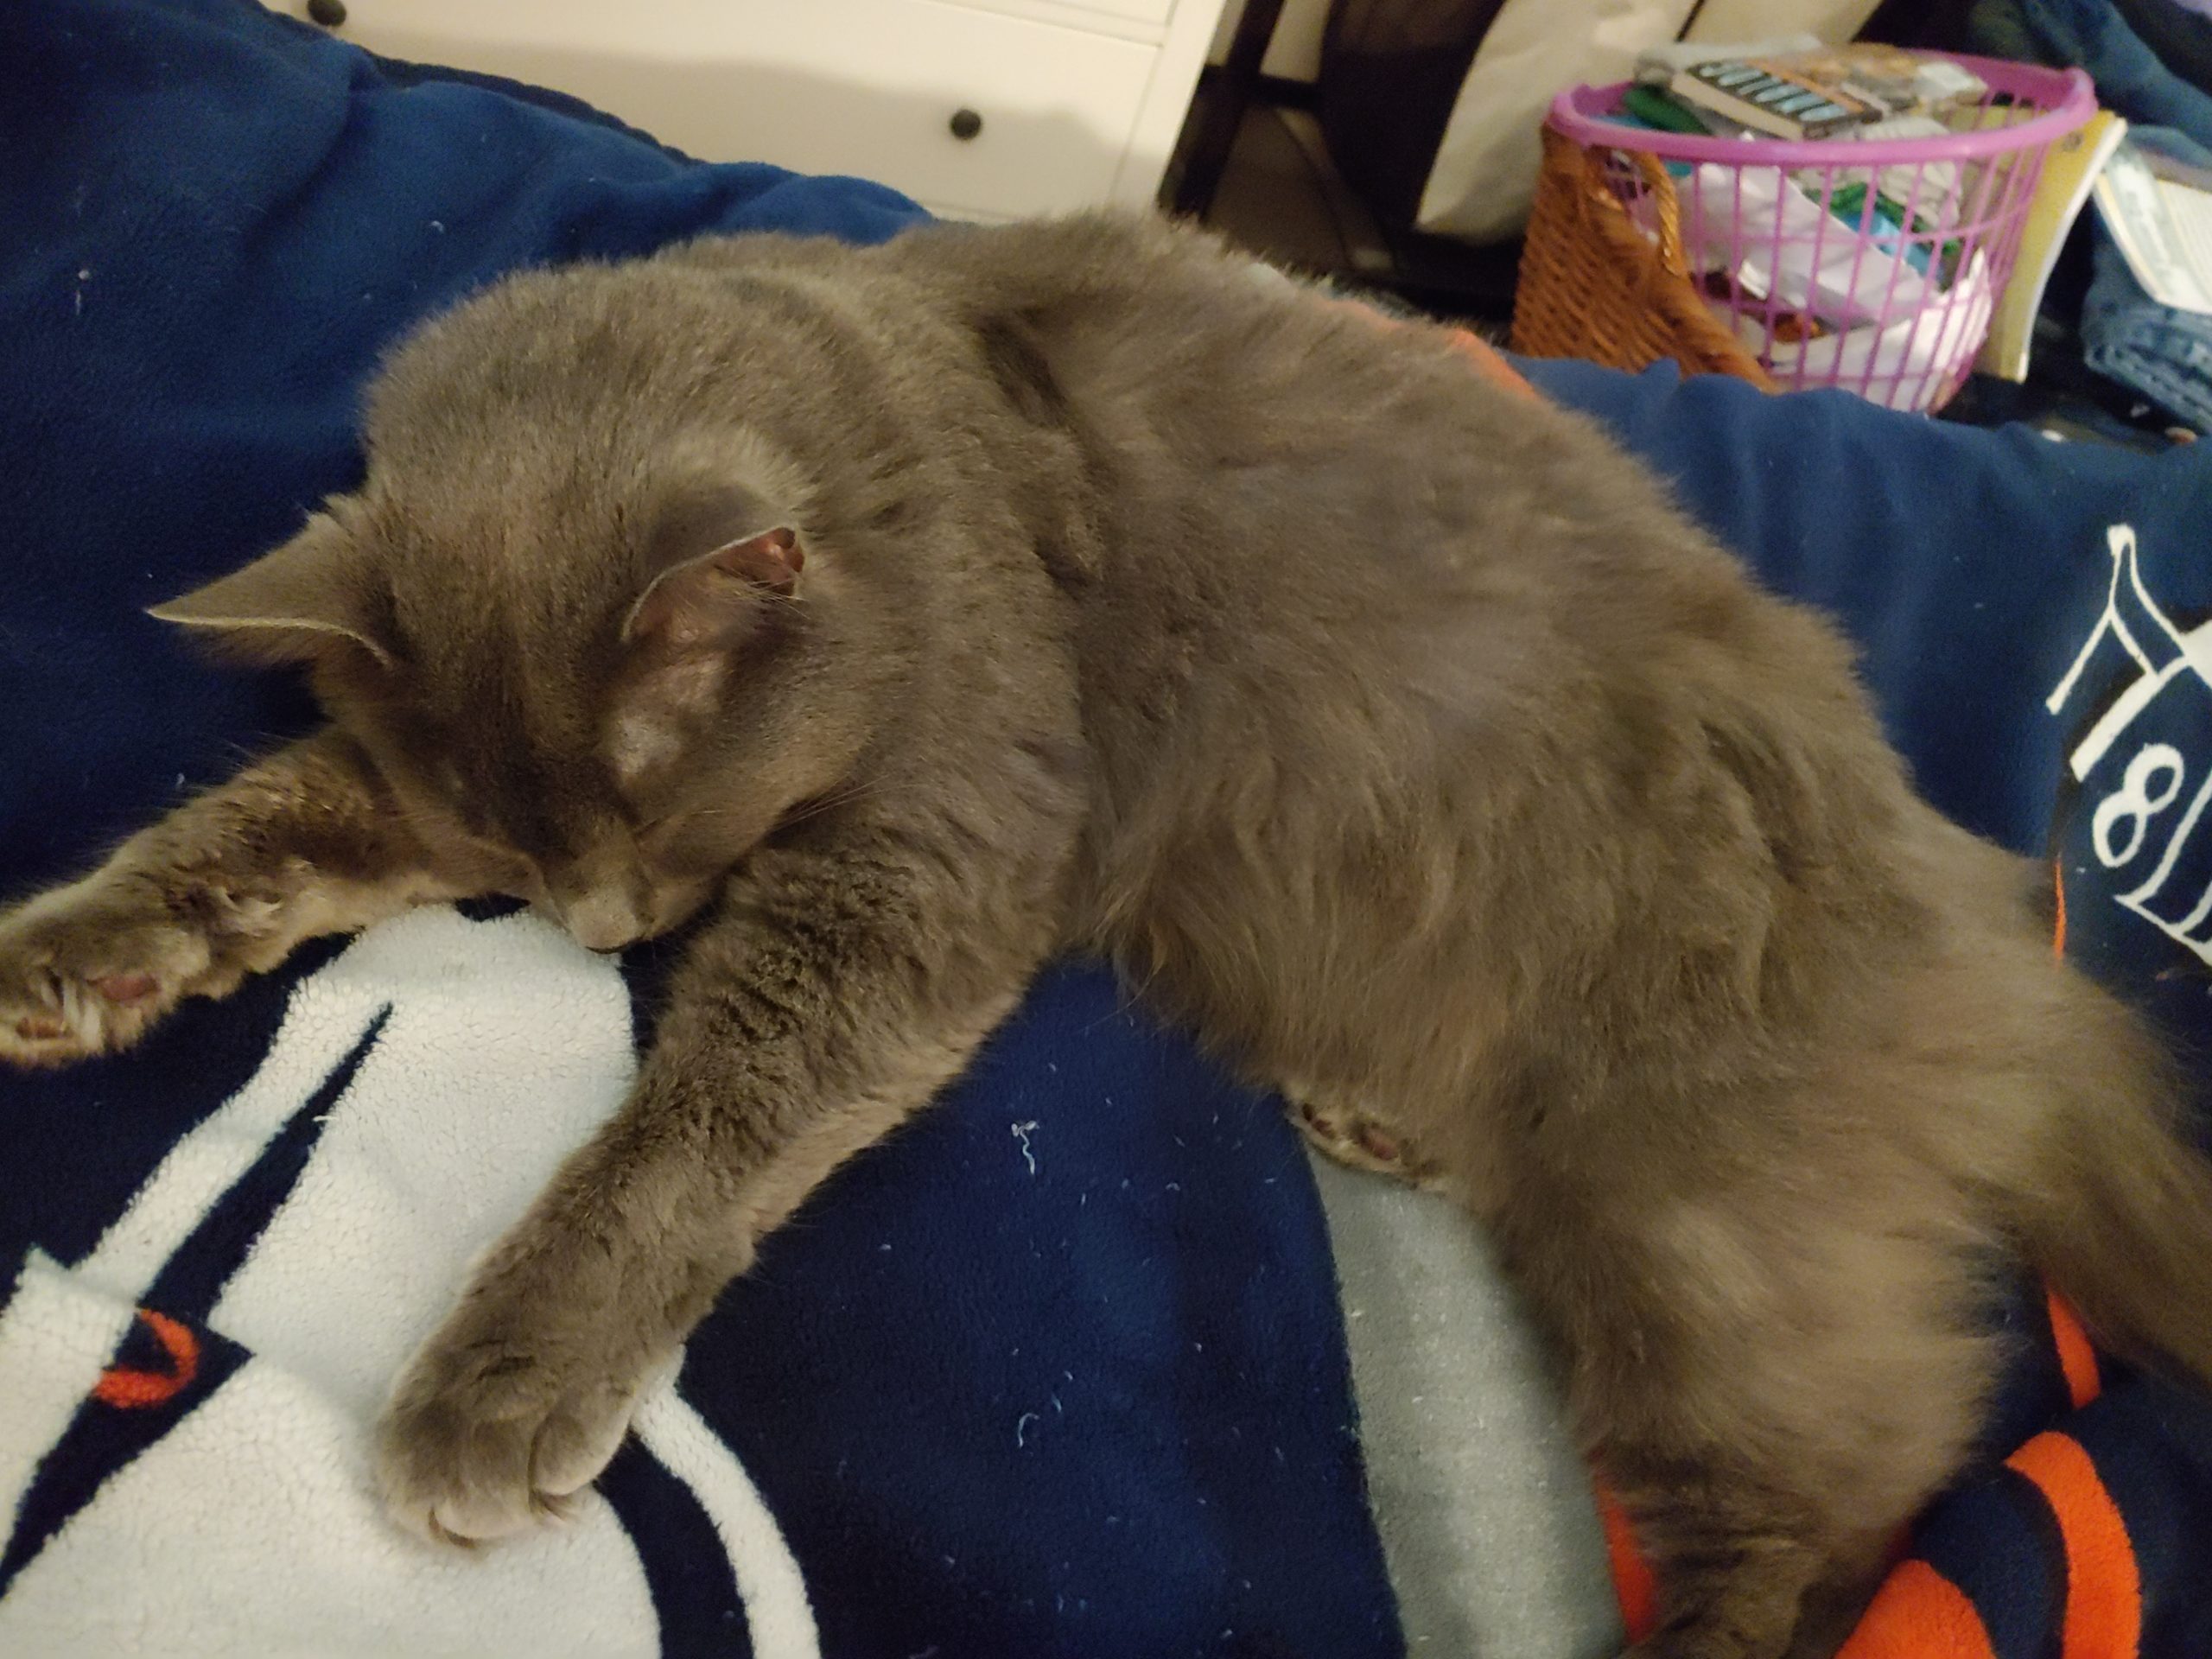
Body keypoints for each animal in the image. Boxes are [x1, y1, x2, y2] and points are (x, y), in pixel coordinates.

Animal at [4, 211, 2212, 1659]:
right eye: (524, 875)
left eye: (664, 839)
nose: (605, 929)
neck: (888, 436)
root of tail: (1982, 914)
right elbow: (264, 824)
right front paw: (76, 955)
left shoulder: (932, 860)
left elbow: (688, 1129)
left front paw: (500, 1381)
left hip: (1693, 1211)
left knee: (1850, 1486)